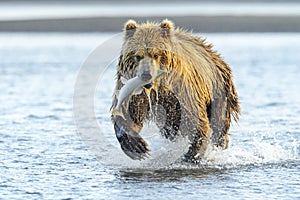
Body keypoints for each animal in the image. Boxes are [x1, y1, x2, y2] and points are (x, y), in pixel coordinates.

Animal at [111, 18, 240, 162]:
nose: (146, 75)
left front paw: (191, 155)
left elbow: (195, 119)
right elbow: (129, 114)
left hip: (219, 90)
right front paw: (138, 147)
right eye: (138, 55)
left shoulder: (183, 90)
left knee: (219, 122)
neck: (157, 86)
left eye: (156, 54)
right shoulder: (134, 91)